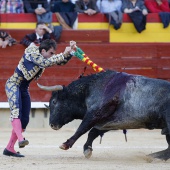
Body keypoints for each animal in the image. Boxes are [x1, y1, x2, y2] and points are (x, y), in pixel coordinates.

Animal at [38, 69, 170, 160]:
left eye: (54, 102)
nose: (52, 124)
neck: (89, 90)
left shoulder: (95, 113)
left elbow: (82, 129)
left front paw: (65, 144)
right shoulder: (111, 121)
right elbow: (93, 132)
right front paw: (87, 149)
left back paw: (153, 156)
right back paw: (153, 156)